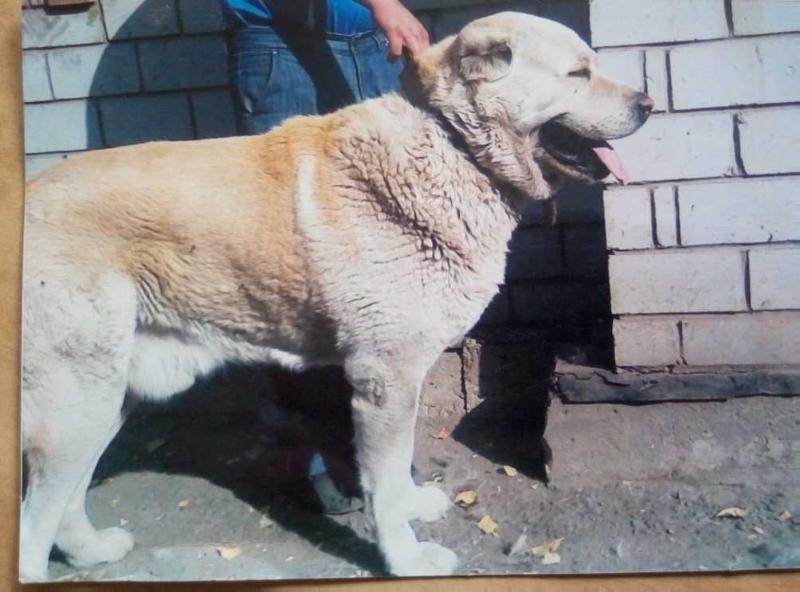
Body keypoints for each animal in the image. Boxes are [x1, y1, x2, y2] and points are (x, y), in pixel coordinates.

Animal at [21, 11, 652, 580]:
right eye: (577, 73)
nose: (648, 104)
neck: (454, 148)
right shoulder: (384, 380)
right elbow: (383, 482)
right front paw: (406, 559)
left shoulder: (396, 383)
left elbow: (396, 470)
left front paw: (413, 507)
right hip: (77, 404)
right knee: (33, 519)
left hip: (105, 398)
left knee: (63, 502)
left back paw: (90, 551)